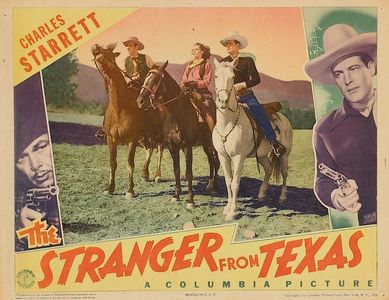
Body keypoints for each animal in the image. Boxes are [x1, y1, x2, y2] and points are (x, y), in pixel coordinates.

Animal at [91, 43, 163, 198]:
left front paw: (130, 190)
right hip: (144, 138)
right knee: (149, 150)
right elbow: (113, 163)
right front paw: (110, 188)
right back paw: (144, 174)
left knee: (159, 151)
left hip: (158, 136)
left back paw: (157, 175)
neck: (120, 107)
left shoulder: (132, 140)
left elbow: (130, 163)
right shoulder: (111, 139)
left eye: (109, 52)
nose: (95, 47)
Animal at [136, 61, 218, 209]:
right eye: (145, 78)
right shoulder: (172, 147)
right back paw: (209, 185)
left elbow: (188, 173)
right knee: (211, 160)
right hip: (205, 144)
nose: (140, 101)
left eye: (155, 80)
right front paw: (176, 195)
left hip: (213, 144)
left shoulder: (187, 147)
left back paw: (215, 187)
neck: (178, 115)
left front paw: (190, 200)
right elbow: (177, 171)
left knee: (217, 161)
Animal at [212, 58, 292, 220]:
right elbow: (228, 181)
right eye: (216, 76)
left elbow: (235, 183)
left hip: (285, 155)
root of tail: (285, 119)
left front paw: (233, 212)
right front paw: (227, 208)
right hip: (261, 155)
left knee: (284, 173)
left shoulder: (238, 157)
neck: (227, 123)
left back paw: (282, 197)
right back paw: (261, 194)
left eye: (233, 77)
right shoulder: (223, 156)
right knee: (268, 169)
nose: (223, 101)